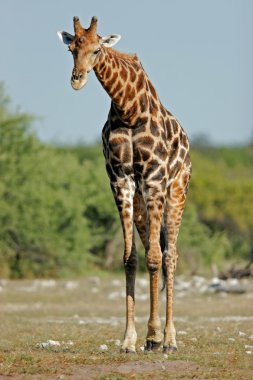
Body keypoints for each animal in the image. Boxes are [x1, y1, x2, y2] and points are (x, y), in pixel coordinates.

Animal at [57, 14, 192, 354]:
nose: (76, 80)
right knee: (152, 250)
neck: (128, 109)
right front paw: (130, 339)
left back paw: (170, 339)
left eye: (97, 50)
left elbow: (155, 258)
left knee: (170, 256)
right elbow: (130, 258)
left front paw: (155, 336)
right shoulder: (120, 179)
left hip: (176, 191)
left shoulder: (154, 177)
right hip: (143, 201)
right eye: (72, 49)